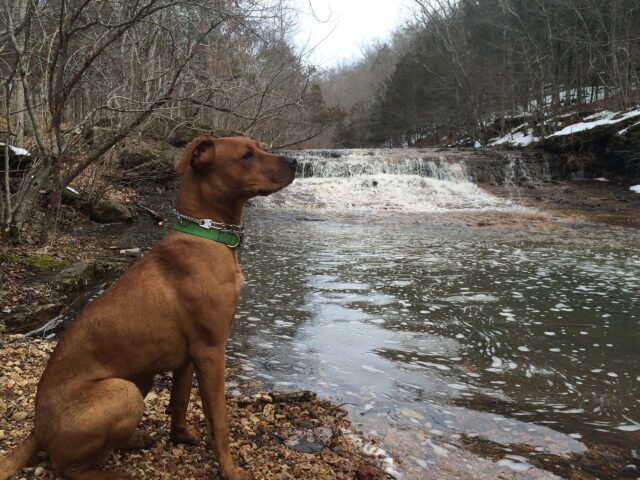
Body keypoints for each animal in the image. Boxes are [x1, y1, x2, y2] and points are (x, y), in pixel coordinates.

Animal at [0, 136, 298, 480]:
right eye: (247, 155)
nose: (295, 162)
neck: (205, 233)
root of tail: (37, 428)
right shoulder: (211, 349)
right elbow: (219, 420)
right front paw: (229, 469)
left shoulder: (189, 357)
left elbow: (180, 402)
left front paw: (181, 437)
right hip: (123, 391)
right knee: (66, 466)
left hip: (141, 377)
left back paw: (136, 439)